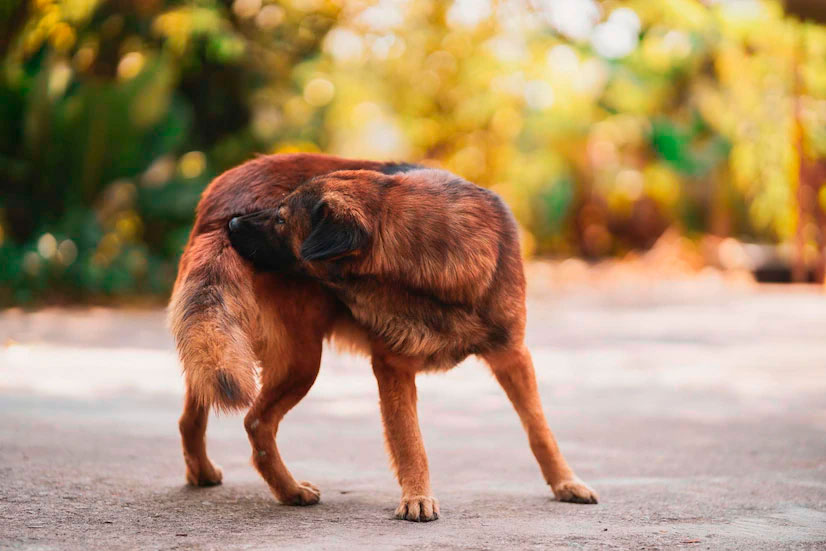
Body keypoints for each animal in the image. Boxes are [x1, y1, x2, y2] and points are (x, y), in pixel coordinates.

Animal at [169, 153, 592, 524]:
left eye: (281, 218)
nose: (233, 224)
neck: (433, 258)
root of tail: (219, 197)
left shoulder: (512, 355)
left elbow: (539, 429)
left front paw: (565, 482)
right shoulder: (393, 367)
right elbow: (410, 440)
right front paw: (418, 497)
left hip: (232, 350)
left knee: (195, 414)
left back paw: (205, 472)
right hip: (301, 361)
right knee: (256, 422)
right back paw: (290, 491)